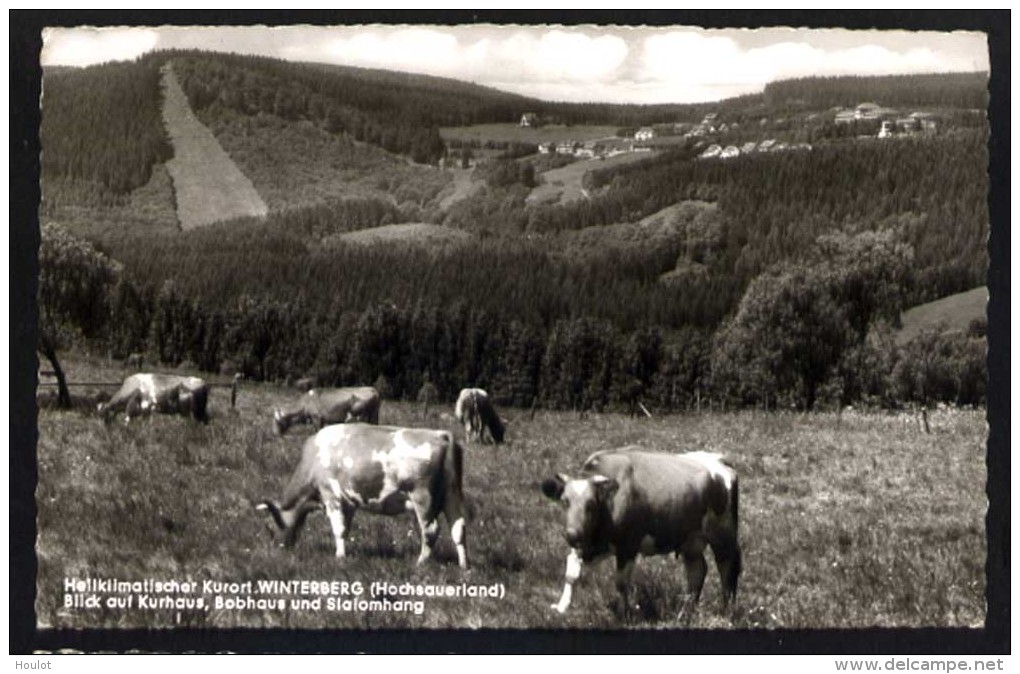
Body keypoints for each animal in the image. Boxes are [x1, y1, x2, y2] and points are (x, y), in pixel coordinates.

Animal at [257, 424, 467, 566]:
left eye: (270, 527)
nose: (278, 549)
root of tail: (440, 434)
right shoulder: (348, 502)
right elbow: (345, 529)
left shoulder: (331, 495)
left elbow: (338, 529)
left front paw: (339, 557)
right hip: (452, 495)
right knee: (458, 528)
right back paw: (464, 565)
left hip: (422, 497)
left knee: (431, 530)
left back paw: (420, 562)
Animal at [542, 446, 742, 615]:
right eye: (564, 501)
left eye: (591, 504)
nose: (571, 534)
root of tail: (719, 459)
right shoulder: (582, 543)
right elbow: (571, 574)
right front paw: (562, 606)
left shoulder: (628, 546)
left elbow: (621, 582)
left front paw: (624, 612)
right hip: (691, 539)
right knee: (697, 570)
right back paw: (687, 607)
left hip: (722, 534)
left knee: (727, 567)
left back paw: (727, 610)